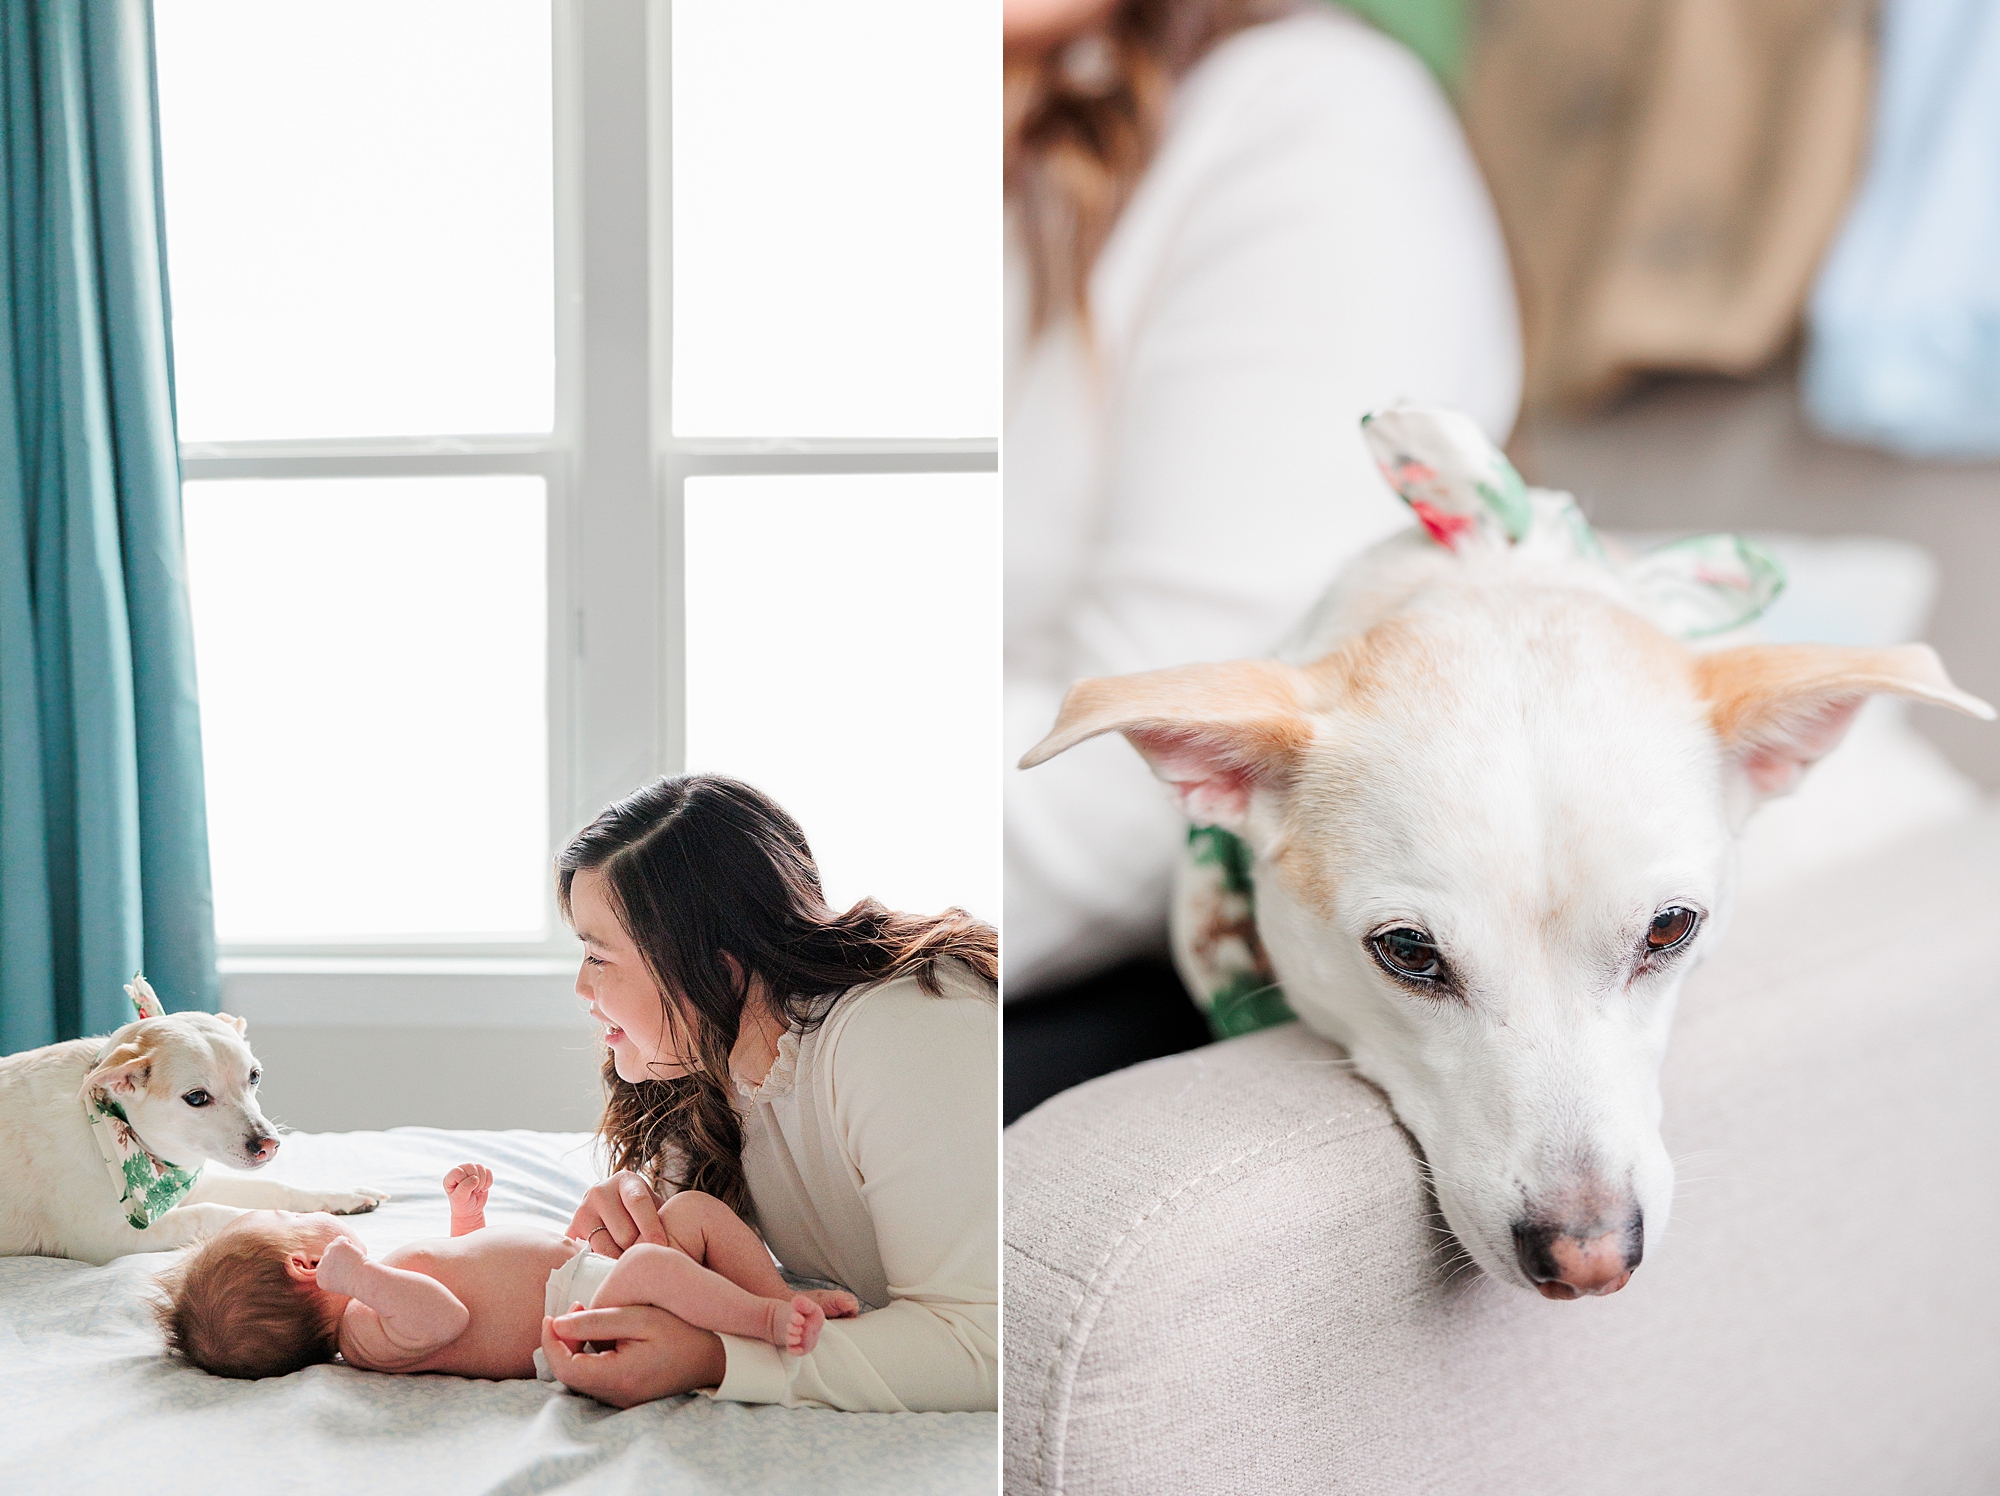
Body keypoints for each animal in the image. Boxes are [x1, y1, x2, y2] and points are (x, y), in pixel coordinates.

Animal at [0, 976, 386, 1272]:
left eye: (255, 1076)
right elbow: (218, 1214)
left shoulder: (192, 1185)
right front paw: (299, 1227)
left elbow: (276, 1188)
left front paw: (341, 1196)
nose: (268, 1145)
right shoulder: (113, 1237)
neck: (112, 1128)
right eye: (197, 1098)